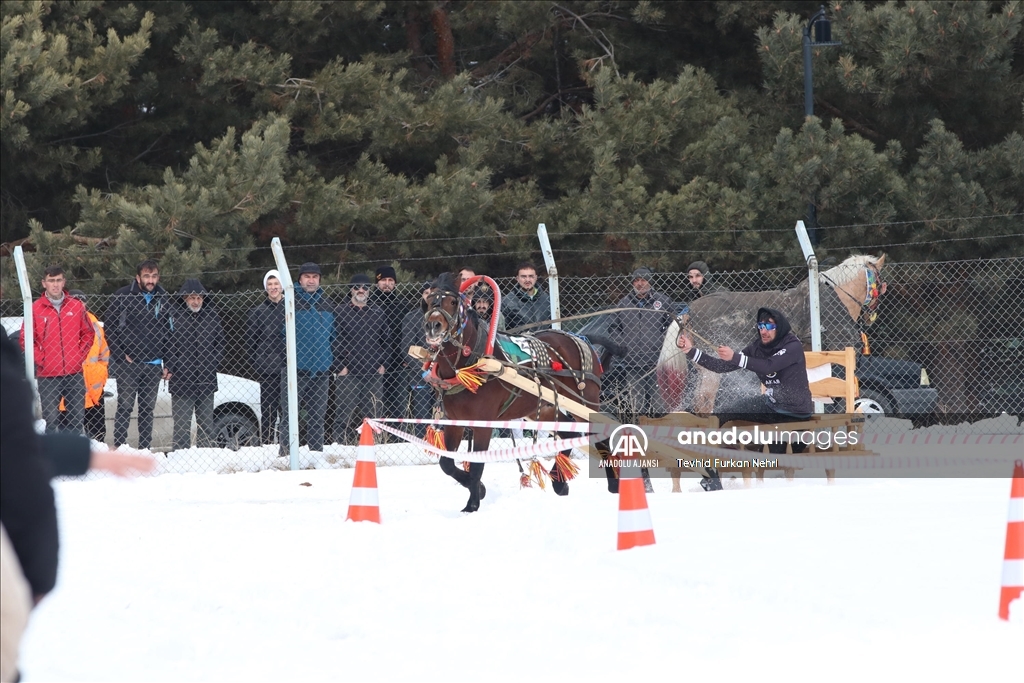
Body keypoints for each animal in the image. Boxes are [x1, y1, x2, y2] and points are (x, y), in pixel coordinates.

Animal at [419, 274, 618, 511]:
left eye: (452, 302)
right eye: (428, 301)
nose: (433, 325)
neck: (469, 362)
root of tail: (581, 337)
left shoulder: (483, 424)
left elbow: (476, 466)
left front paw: (472, 505)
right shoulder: (454, 422)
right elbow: (446, 463)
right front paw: (478, 490)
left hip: (583, 400)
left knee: (600, 436)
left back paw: (614, 486)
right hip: (542, 407)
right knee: (569, 434)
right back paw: (559, 483)